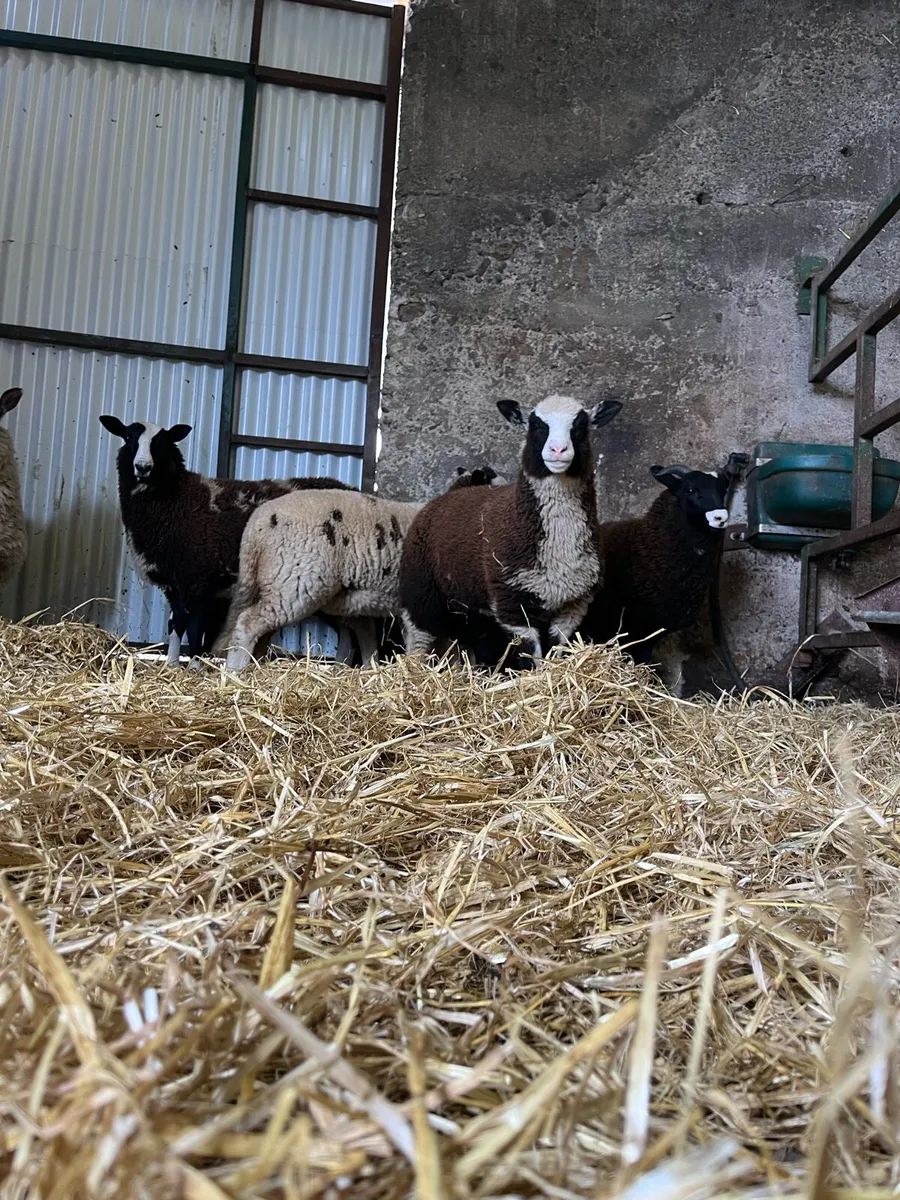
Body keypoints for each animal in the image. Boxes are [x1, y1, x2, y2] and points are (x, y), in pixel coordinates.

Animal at [98, 415, 353, 664]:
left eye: (161, 442)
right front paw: (171, 665)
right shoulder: (175, 581)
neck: (179, 499)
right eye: (128, 437)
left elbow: (194, 631)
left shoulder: (200, 580)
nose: (142, 467)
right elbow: (175, 625)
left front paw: (194, 665)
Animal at [398, 392, 624, 663]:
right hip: (419, 590)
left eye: (580, 426)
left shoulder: (573, 605)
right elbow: (530, 656)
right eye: (536, 426)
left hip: (470, 606)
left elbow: (557, 650)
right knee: (418, 638)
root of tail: (453, 492)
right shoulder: (512, 602)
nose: (558, 450)